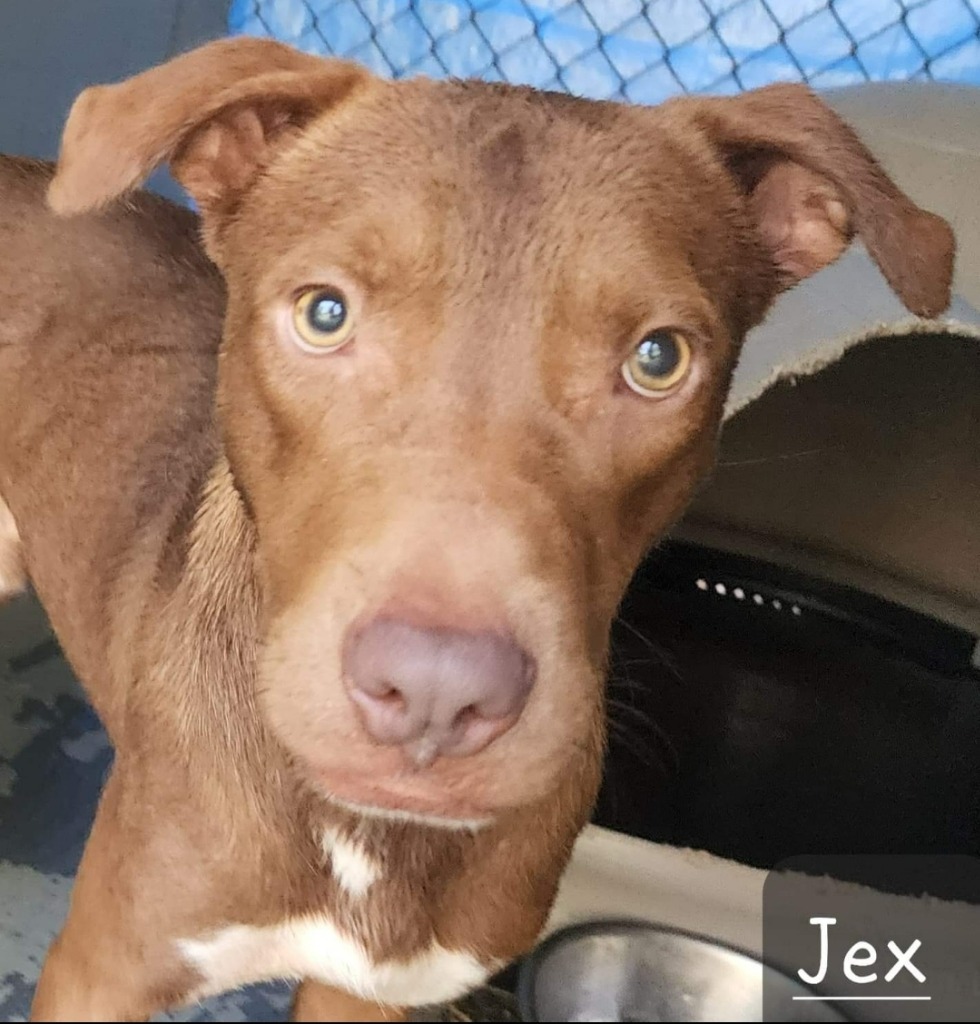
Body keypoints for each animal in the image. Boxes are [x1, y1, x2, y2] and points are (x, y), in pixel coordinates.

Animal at [0, 37, 950, 1024]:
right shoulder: (99, 974)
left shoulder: (371, 994)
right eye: (323, 312)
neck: (365, 839)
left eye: (659, 359)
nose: (437, 690)